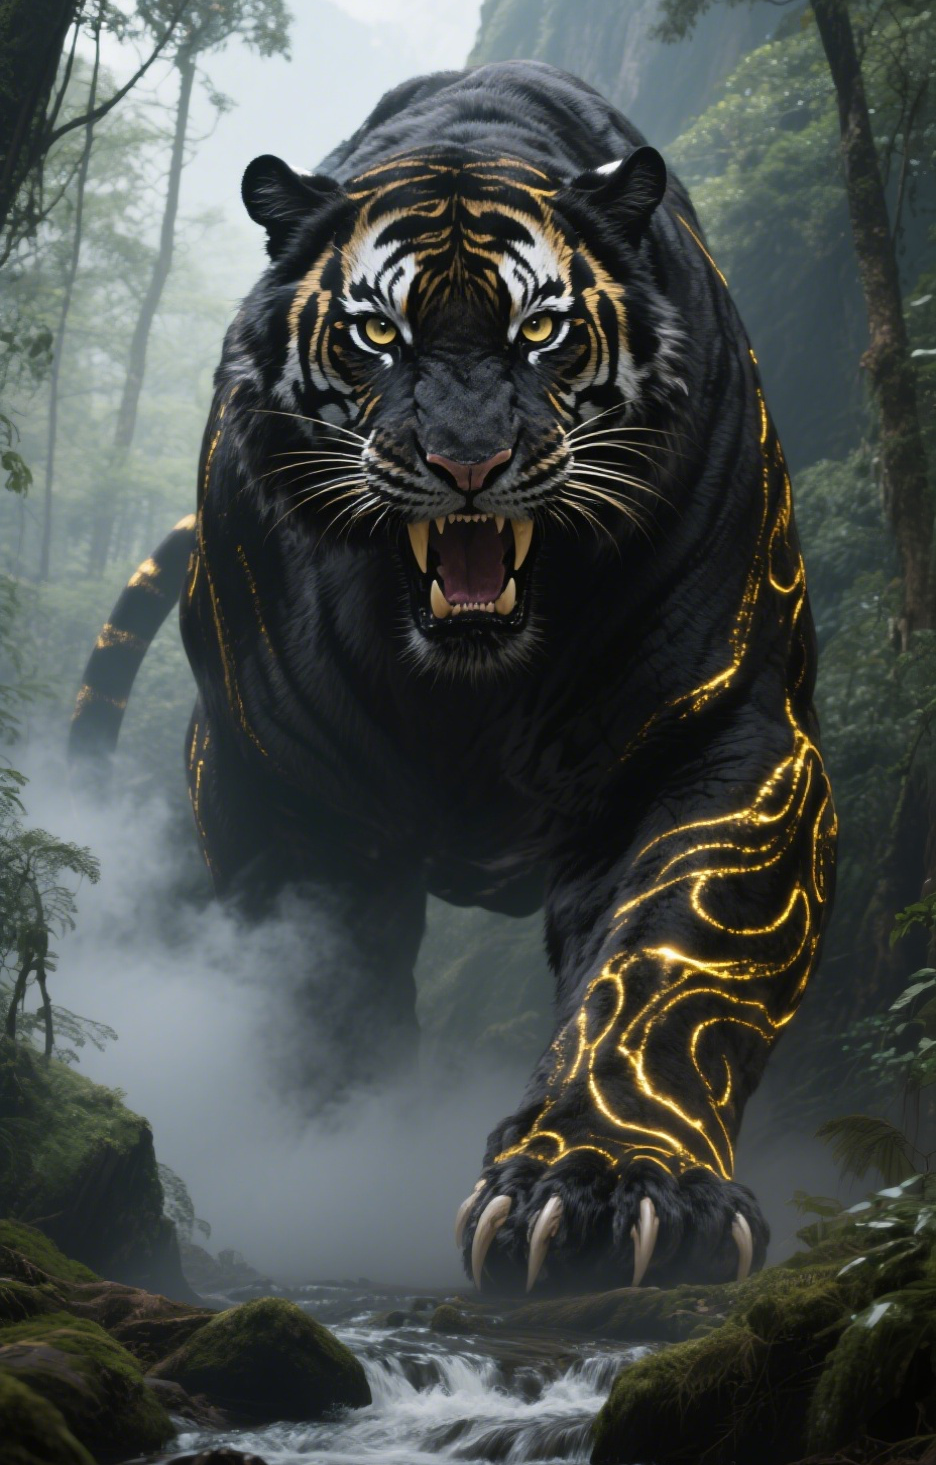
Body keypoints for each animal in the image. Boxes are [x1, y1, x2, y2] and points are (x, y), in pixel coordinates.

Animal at [71, 60, 836, 1294]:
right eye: (377, 332)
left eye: (542, 329)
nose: (468, 462)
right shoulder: (292, 802)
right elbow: (323, 1002)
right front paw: (319, 1178)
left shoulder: (731, 737)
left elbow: (664, 961)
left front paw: (611, 1188)